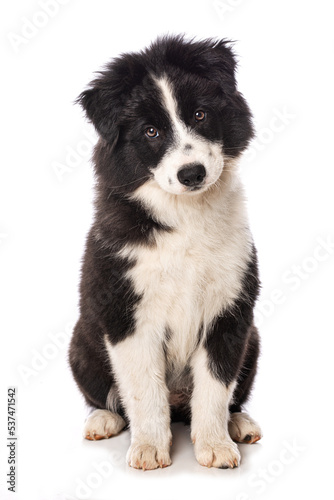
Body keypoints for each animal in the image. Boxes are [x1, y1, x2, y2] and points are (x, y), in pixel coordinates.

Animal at [69, 35, 262, 468]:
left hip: (254, 340)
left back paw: (239, 423)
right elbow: (143, 389)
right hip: (81, 344)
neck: (185, 217)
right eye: (152, 131)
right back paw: (102, 420)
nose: (191, 174)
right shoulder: (127, 314)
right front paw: (149, 449)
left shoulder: (230, 311)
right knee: (108, 398)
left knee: (225, 397)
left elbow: (215, 386)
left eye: (200, 114)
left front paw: (215, 446)